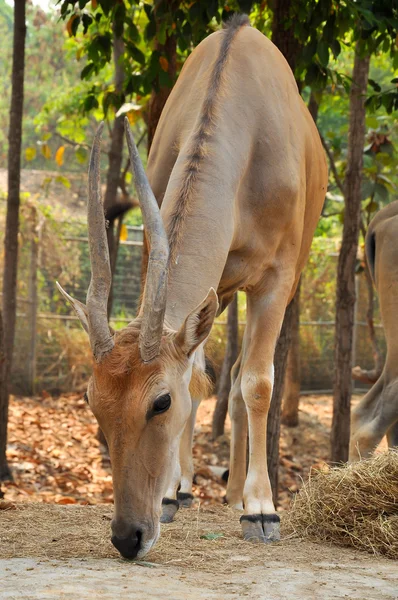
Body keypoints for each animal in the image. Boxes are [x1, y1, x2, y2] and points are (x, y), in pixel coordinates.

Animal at [57, 12, 328, 556]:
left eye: (160, 401)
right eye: (93, 400)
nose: (128, 537)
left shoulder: (276, 280)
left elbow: (258, 383)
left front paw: (262, 509)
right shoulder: (178, 274)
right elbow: (200, 375)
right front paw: (171, 492)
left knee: (244, 375)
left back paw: (239, 496)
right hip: (221, 293)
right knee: (214, 374)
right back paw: (185, 491)